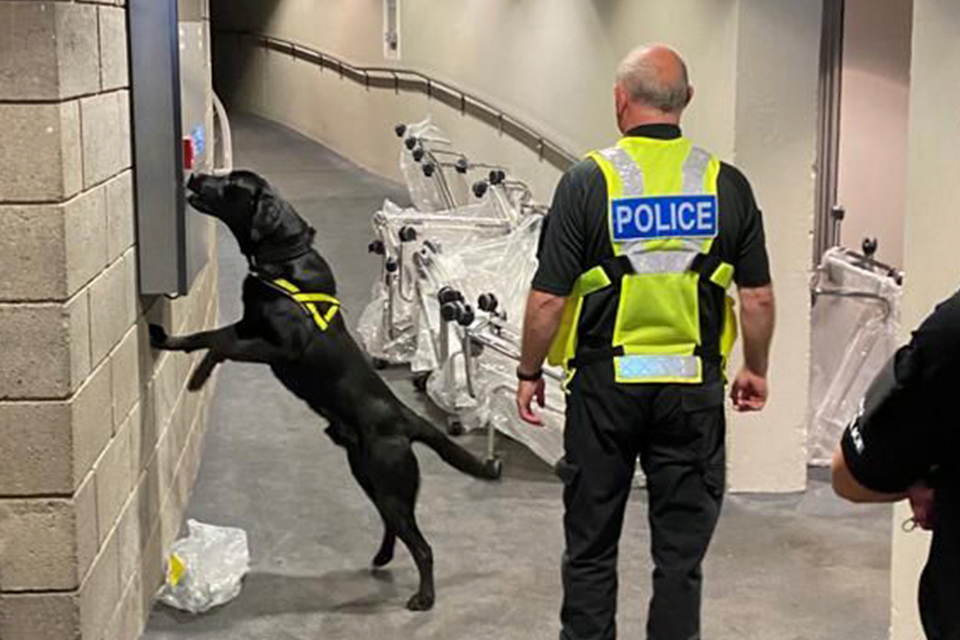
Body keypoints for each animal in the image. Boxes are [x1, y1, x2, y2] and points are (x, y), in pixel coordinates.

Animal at [152, 170, 502, 608]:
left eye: (231, 182)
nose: (196, 175)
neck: (285, 259)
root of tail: (405, 418)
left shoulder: (281, 347)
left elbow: (221, 345)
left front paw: (198, 375)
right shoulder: (247, 327)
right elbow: (206, 337)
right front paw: (175, 349)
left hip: (390, 480)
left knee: (422, 547)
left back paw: (424, 597)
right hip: (368, 476)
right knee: (393, 525)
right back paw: (382, 557)